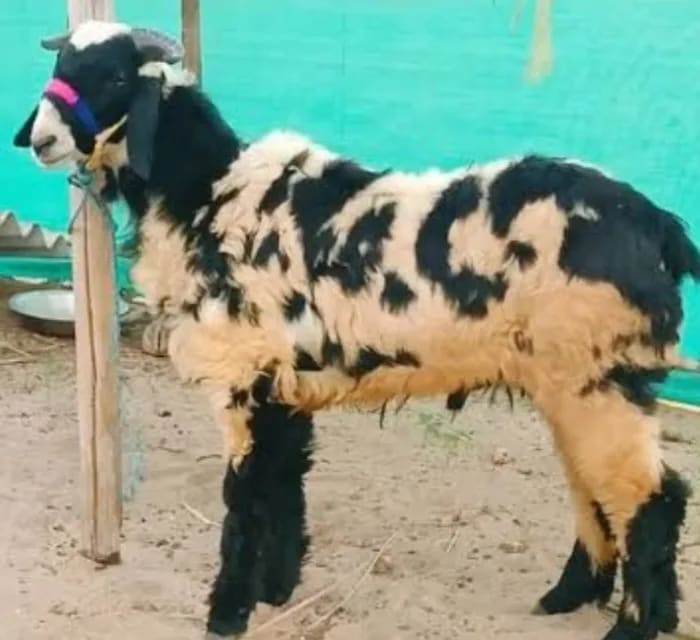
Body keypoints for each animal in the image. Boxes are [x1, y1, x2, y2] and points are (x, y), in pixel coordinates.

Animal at [12, 20, 700, 640]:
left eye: (116, 76)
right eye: (61, 65)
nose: (40, 140)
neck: (208, 193)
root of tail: (661, 227)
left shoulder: (246, 381)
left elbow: (244, 498)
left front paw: (227, 614)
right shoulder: (286, 388)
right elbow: (285, 486)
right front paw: (276, 591)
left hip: (599, 376)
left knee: (653, 497)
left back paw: (636, 625)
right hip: (568, 381)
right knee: (594, 487)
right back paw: (572, 598)